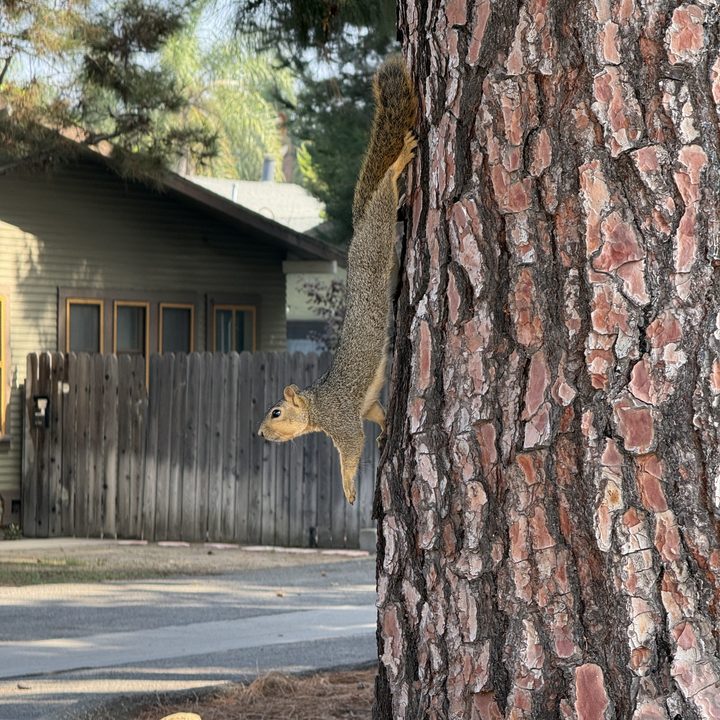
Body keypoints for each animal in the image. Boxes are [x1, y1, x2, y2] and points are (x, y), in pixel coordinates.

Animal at [257, 55, 417, 505]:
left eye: (276, 412)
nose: (259, 434)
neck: (317, 406)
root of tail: (357, 230)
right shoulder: (364, 406)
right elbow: (378, 414)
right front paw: (386, 431)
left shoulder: (342, 420)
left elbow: (351, 450)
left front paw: (347, 490)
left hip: (375, 240)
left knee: (384, 192)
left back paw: (398, 163)